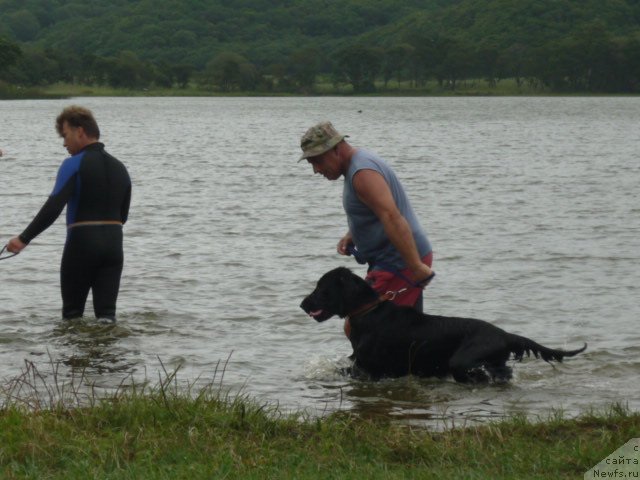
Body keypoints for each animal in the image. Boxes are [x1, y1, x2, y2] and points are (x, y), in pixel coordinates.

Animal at [300, 266, 584, 382]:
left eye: (321, 288)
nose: (302, 304)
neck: (368, 311)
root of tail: (504, 334)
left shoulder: (368, 369)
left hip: (463, 361)